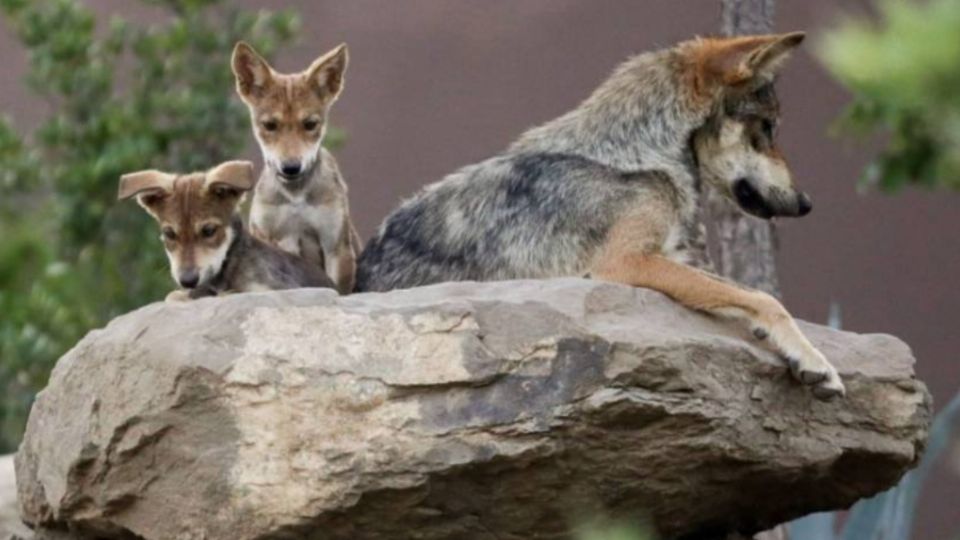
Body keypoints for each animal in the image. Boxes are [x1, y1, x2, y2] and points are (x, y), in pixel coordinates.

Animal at [234, 42, 362, 296]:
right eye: (269, 125)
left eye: (310, 124)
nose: (291, 167)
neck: (295, 198)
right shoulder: (272, 238)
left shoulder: (335, 246)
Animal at [356, 31, 844, 398]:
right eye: (767, 129)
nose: (807, 203)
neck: (634, 153)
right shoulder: (627, 263)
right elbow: (766, 298)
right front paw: (816, 361)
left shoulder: (676, 257)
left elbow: (745, 293)